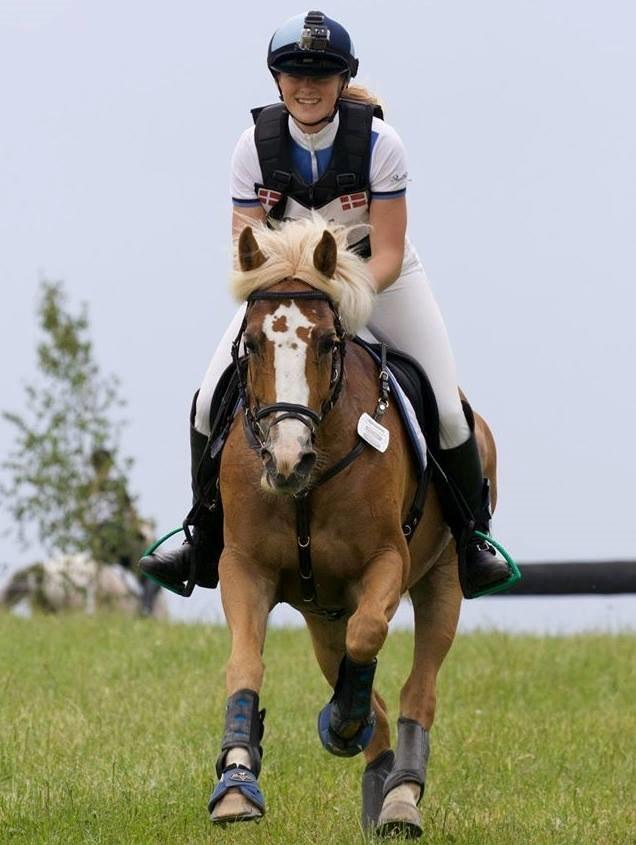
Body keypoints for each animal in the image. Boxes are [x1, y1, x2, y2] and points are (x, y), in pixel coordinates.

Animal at [206, 217, 498, 837]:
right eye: (253, 344)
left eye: (326, 343)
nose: (287, 461)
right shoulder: (243, 566)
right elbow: (245, 662)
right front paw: (237, 785)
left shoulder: (386, 561)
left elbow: (369, 637)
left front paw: (342, 722)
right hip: (321, 615)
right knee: (360, 682)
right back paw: (377, 780)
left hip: (442, 583)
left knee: (417, 691)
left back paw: (400, 797)